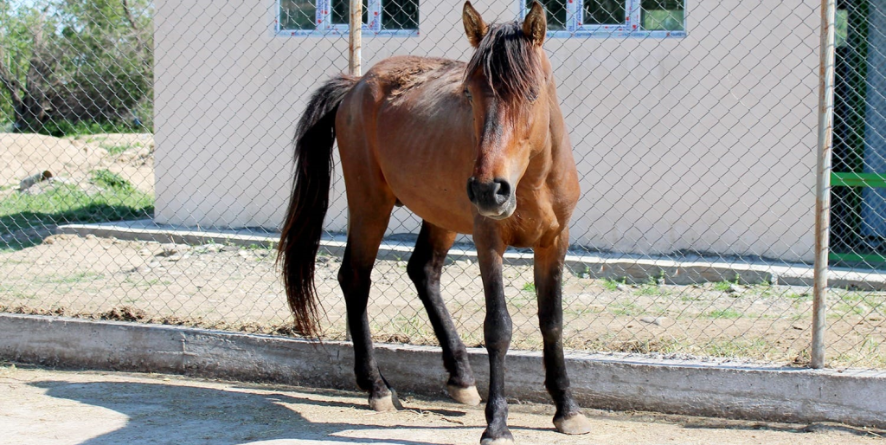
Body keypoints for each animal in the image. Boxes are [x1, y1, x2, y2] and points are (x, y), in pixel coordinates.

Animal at [280, 1, 588, 442]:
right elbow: (498, 328)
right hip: (371, 205)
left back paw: (461, 378)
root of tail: (357, 84)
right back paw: (377, 387)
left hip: (439, 218)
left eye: (531, 92)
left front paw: (567, 408)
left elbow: (553, 323)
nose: (488, 190)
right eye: (469, 92)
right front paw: (497, 424)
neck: (532, 180)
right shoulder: (488, 242)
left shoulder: (554, 243)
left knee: (423, 271)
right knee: (355, 276)